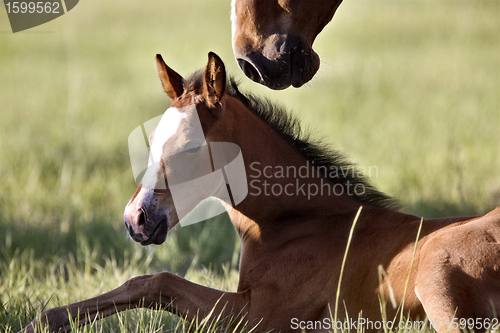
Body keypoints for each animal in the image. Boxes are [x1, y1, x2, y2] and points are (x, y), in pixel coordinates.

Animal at [19, 52, 500, 332]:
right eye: (152, 138)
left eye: (190, 147)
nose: (136, 219)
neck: (295, 222)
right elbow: (146, 281)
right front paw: (43, 319)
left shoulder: (261, 316)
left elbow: (158, 281)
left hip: (437, 278)